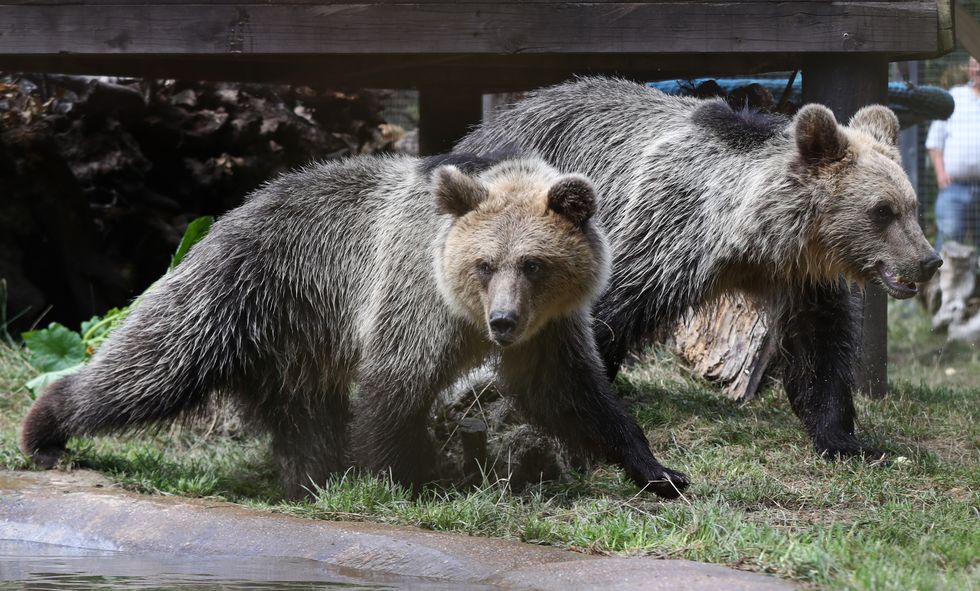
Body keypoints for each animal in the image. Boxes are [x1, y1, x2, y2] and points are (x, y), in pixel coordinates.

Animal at [19, 154, 684, 500]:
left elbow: (574, 395)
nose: (502, 321)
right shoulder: (414, 297)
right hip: (242, 292)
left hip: (296, 349)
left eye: (534, 263)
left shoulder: (550, 330)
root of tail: (237, 208)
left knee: (306, 420)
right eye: (484, 263)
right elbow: (394, 387)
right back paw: (45, 428)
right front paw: (396, 475)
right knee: (150, 367)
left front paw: (660, 472)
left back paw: (308, 477)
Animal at [460, 77, 940, 480]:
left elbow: (820, 352)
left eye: (911, 206)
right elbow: (595, 327)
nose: (928, 260)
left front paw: (847, 442)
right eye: (882, 211)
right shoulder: (661, 238)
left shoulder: (800, 278)